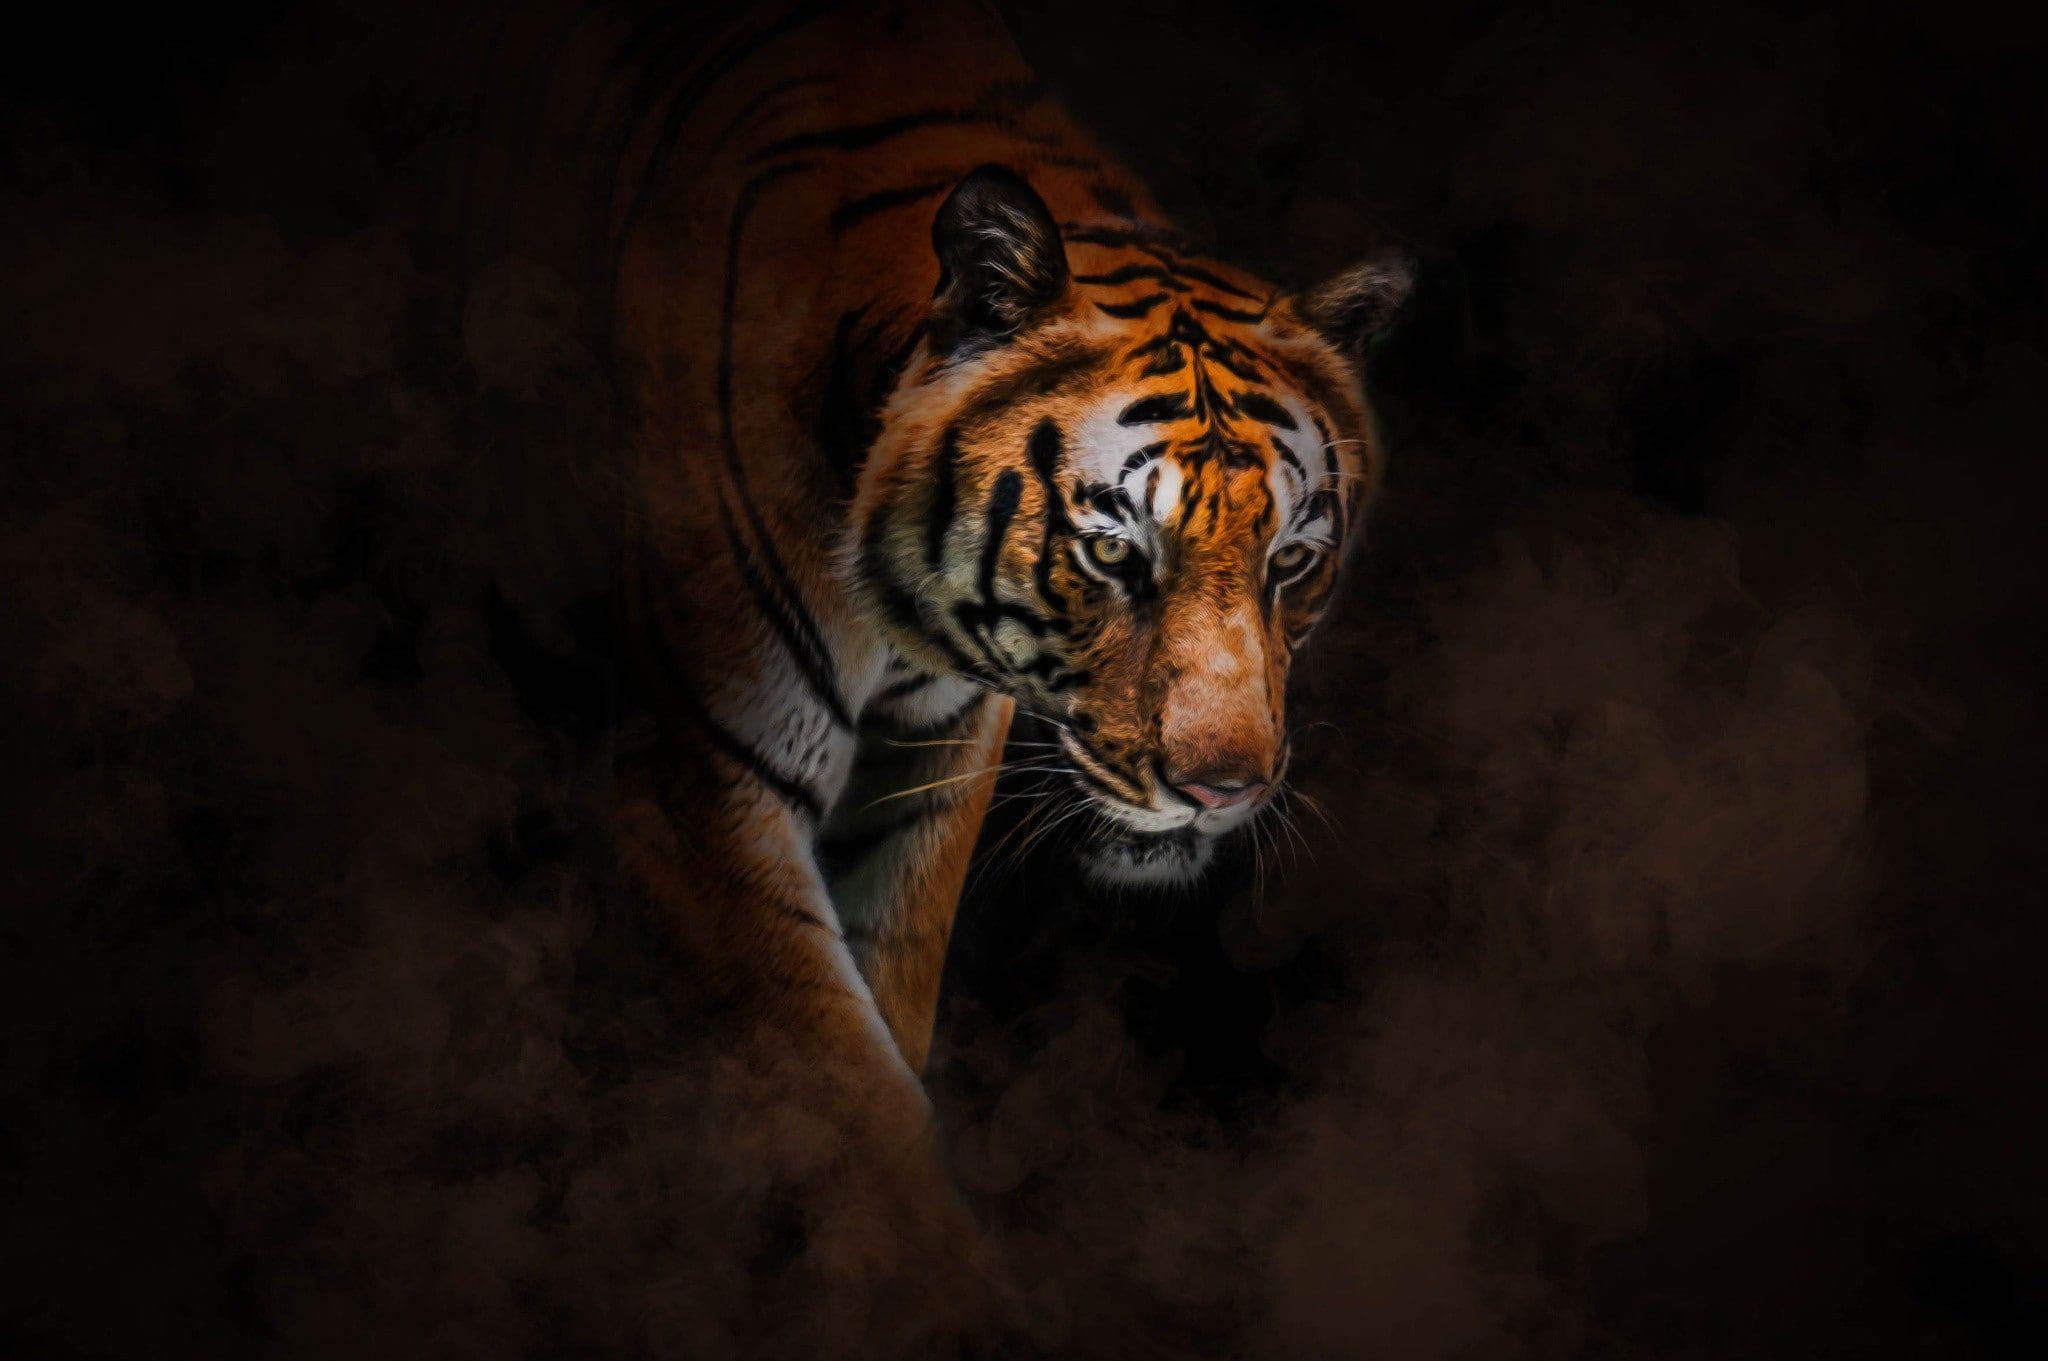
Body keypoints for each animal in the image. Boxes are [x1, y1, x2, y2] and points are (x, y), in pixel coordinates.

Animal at [437, 0, 1408, 1292]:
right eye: (1113, 552)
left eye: (1289, 563)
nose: (1223, 789)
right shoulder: (702, 788)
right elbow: (846, 1102)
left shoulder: (925, 781)